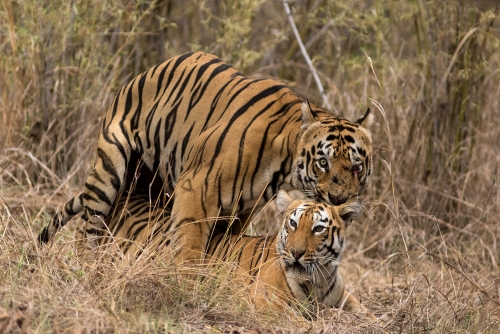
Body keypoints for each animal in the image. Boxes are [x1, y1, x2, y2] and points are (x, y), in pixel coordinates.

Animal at [39, 51, 374, 266]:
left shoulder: (241, 211)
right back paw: (85, 268)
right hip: (108, 170)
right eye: (323, 163)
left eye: (357, 168)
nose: (339, 200)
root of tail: (143, 73)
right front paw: (184, 285)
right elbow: (189, 244)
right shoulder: (197, 189)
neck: (283, 163)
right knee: (88, 228)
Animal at [100, 189, 376, 320]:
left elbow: (367, 313)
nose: (296, 253)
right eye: (293, 224)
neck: (318, 280)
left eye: (318, 228)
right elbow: (296, 319)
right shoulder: (262, 298)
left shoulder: (344, 297)